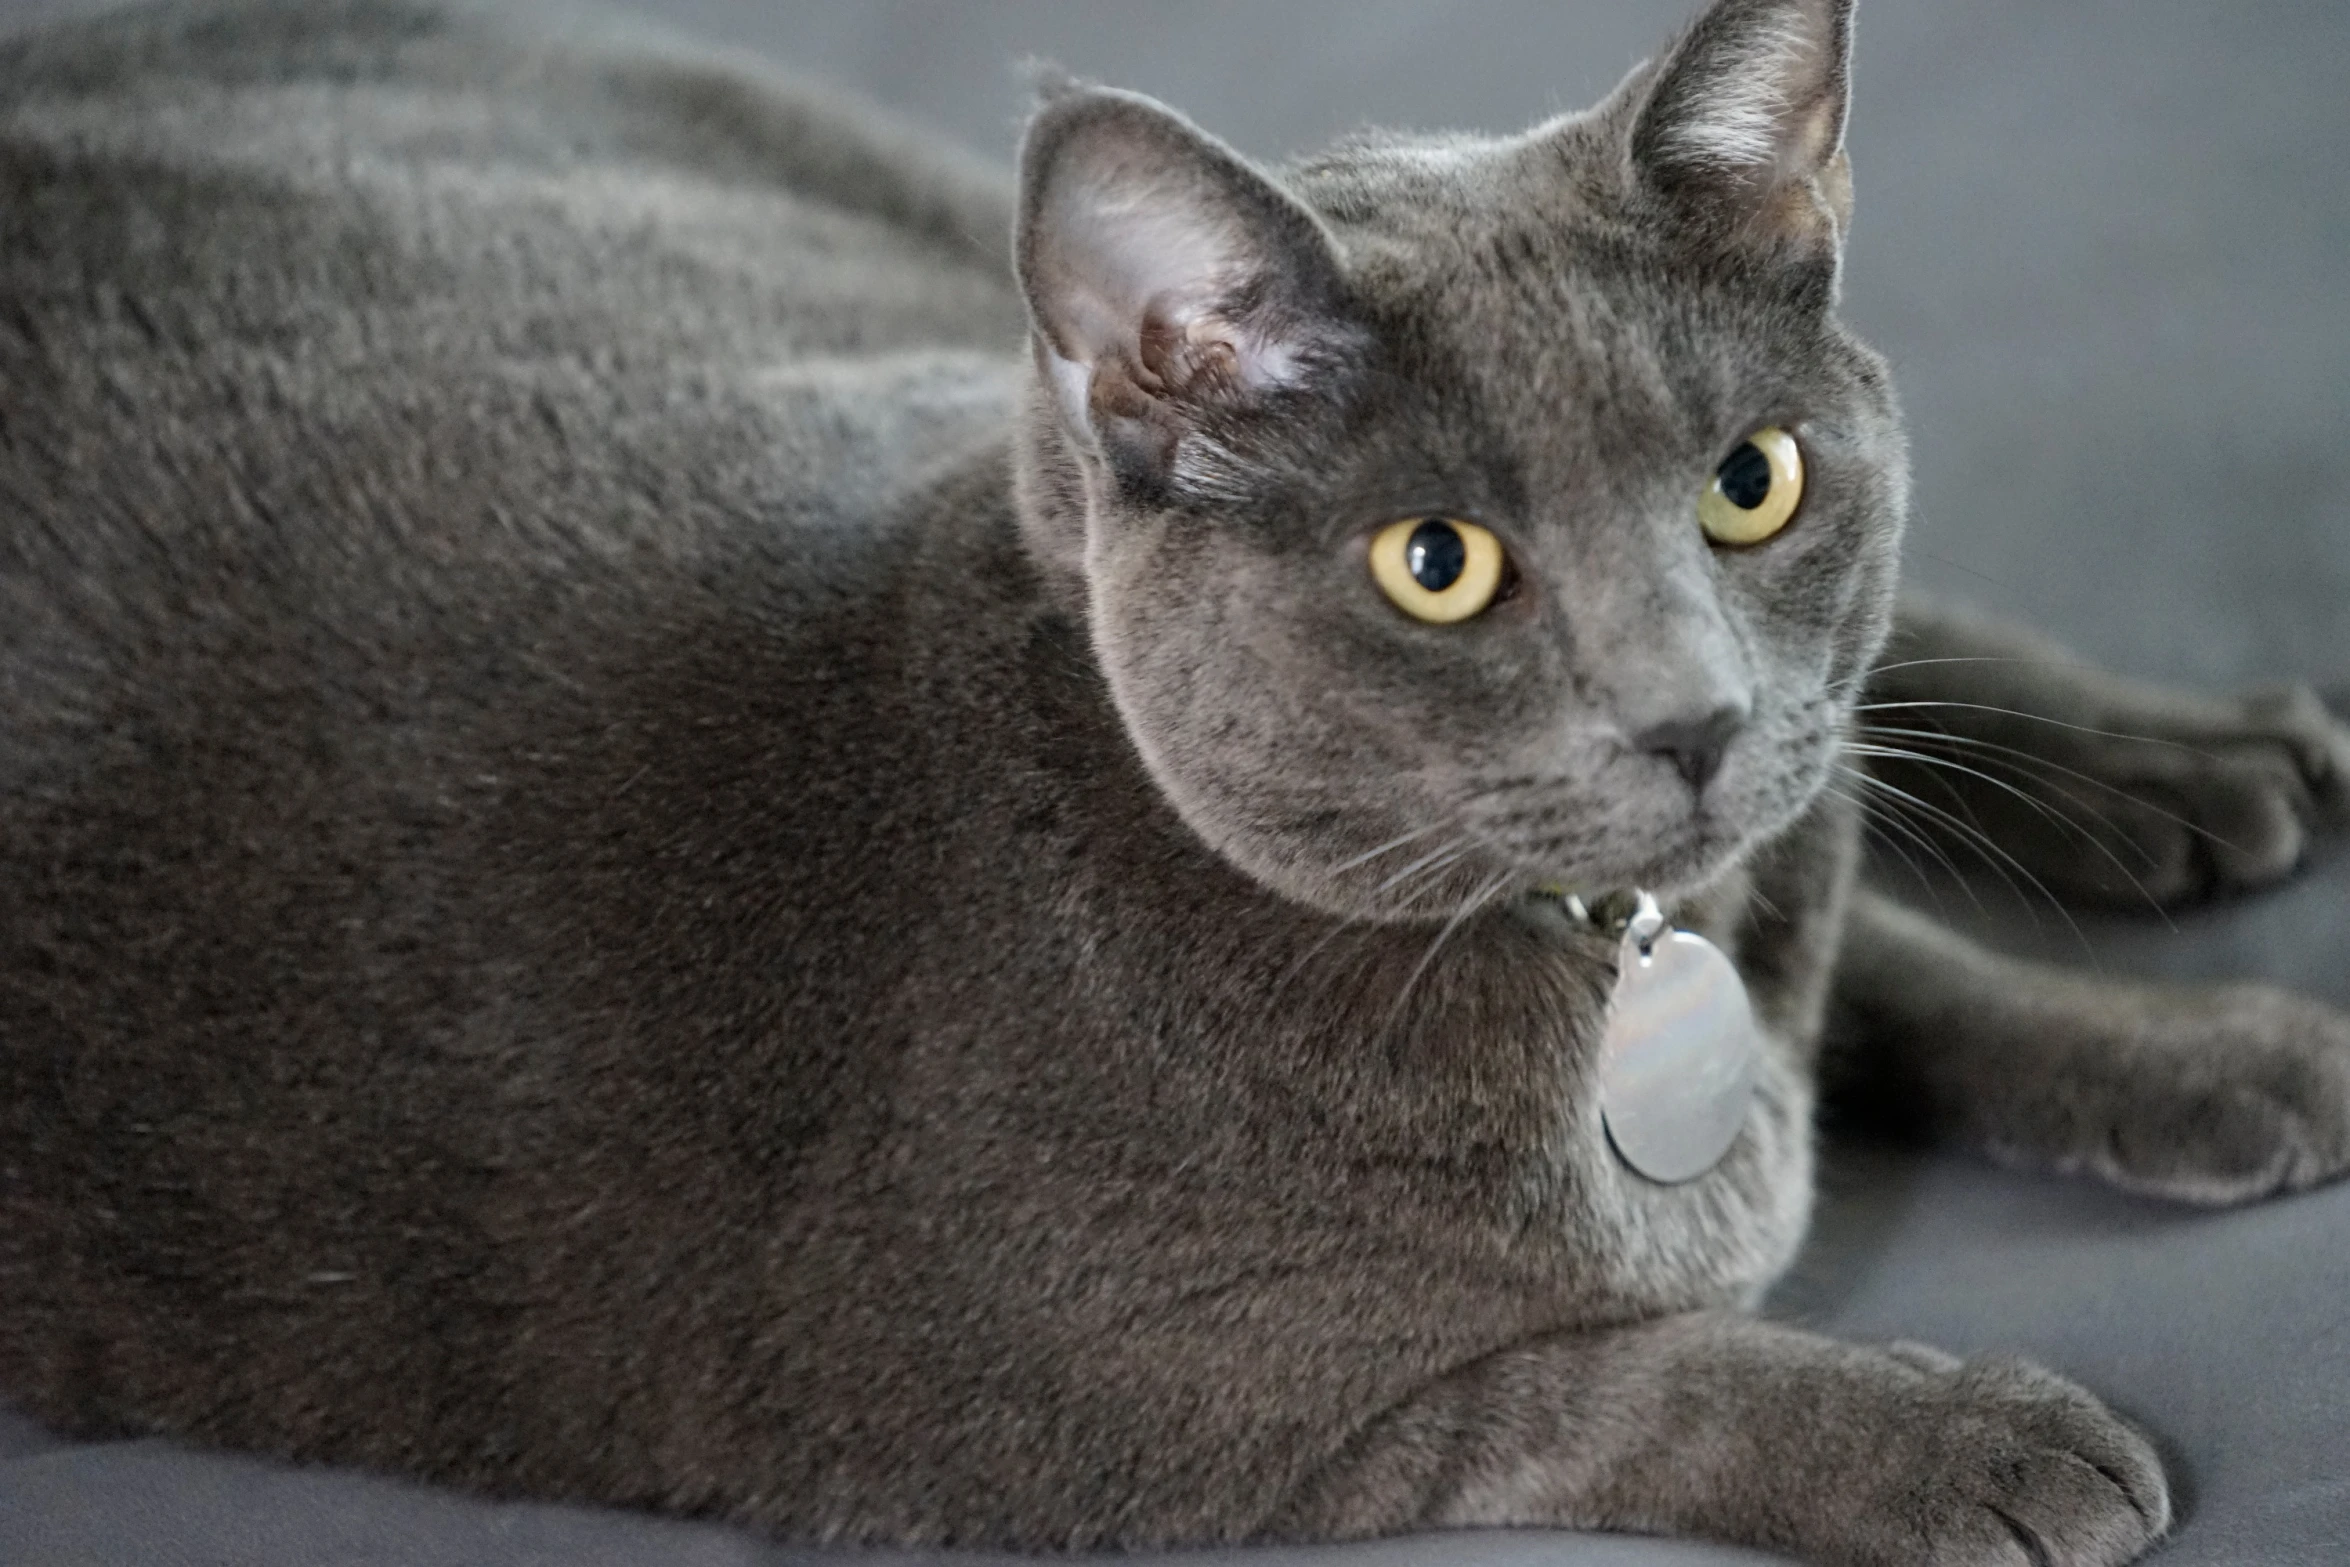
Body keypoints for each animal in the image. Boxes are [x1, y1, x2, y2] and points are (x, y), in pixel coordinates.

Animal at [4, 0, 2350, 1559]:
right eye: (1436, 563)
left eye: (1748, 482)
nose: (1685, 715)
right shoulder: (1149, 1438)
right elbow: (1600, 1383)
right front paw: (1981, 1443)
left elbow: (1898, 954)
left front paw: (2224, 1052)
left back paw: (2199, 758)